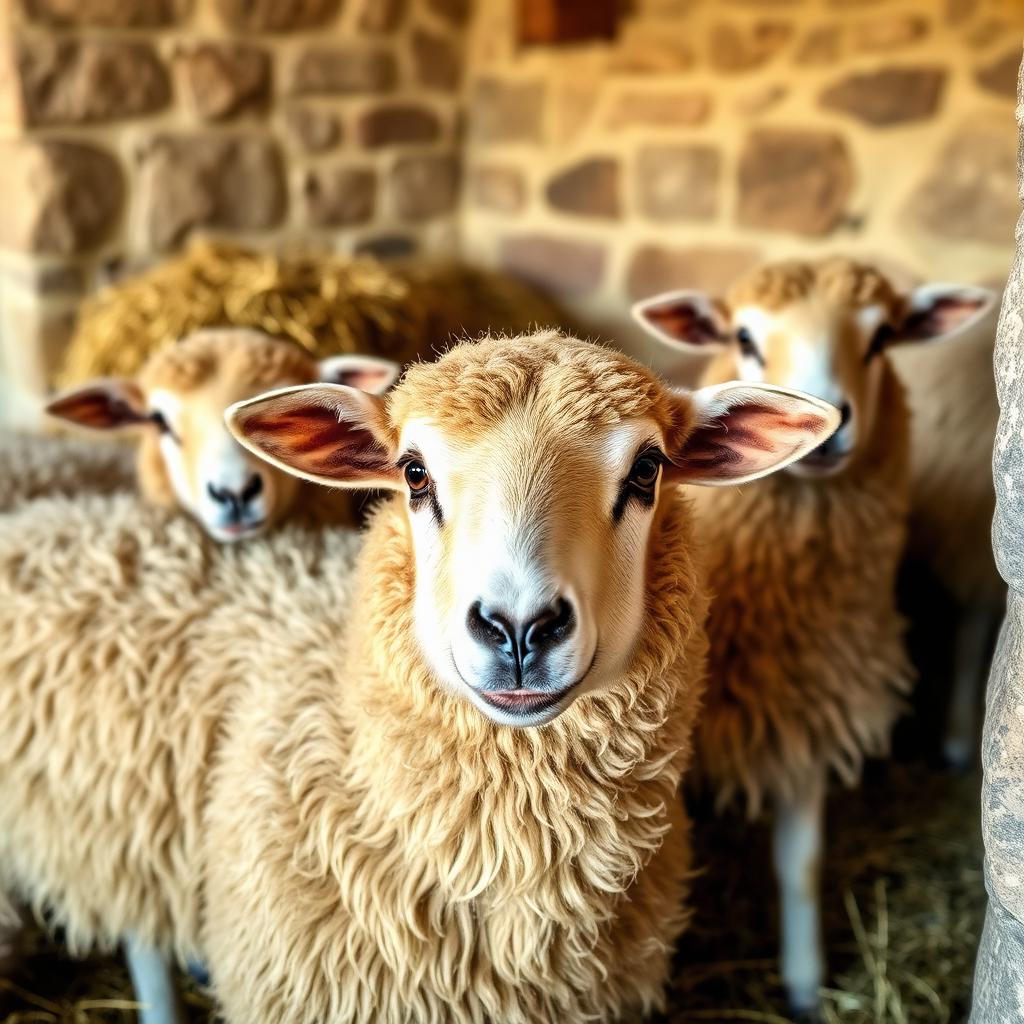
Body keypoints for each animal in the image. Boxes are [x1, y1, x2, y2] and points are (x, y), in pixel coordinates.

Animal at [633, 257, 994, 1020]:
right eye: (743, 338)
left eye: (882, 337)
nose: (827, 420)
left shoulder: (803, 710)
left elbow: (800, 865)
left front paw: (803, 982)